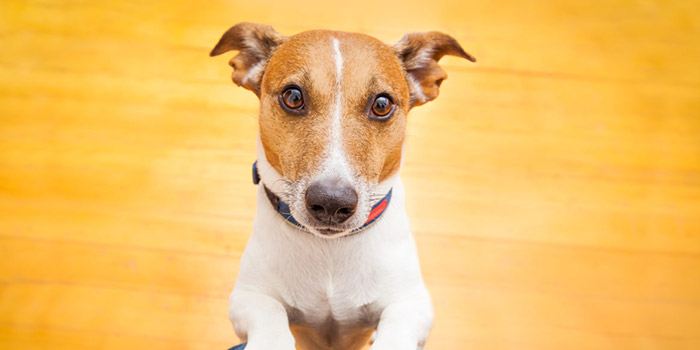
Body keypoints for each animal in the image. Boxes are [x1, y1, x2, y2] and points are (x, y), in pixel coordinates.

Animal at [212, 23, 476, 348]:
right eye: (293, 97)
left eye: (382, 104)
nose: (331, 201)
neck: (331, 251)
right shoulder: (249, 296)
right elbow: (270, 318)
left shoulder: (412, 302)